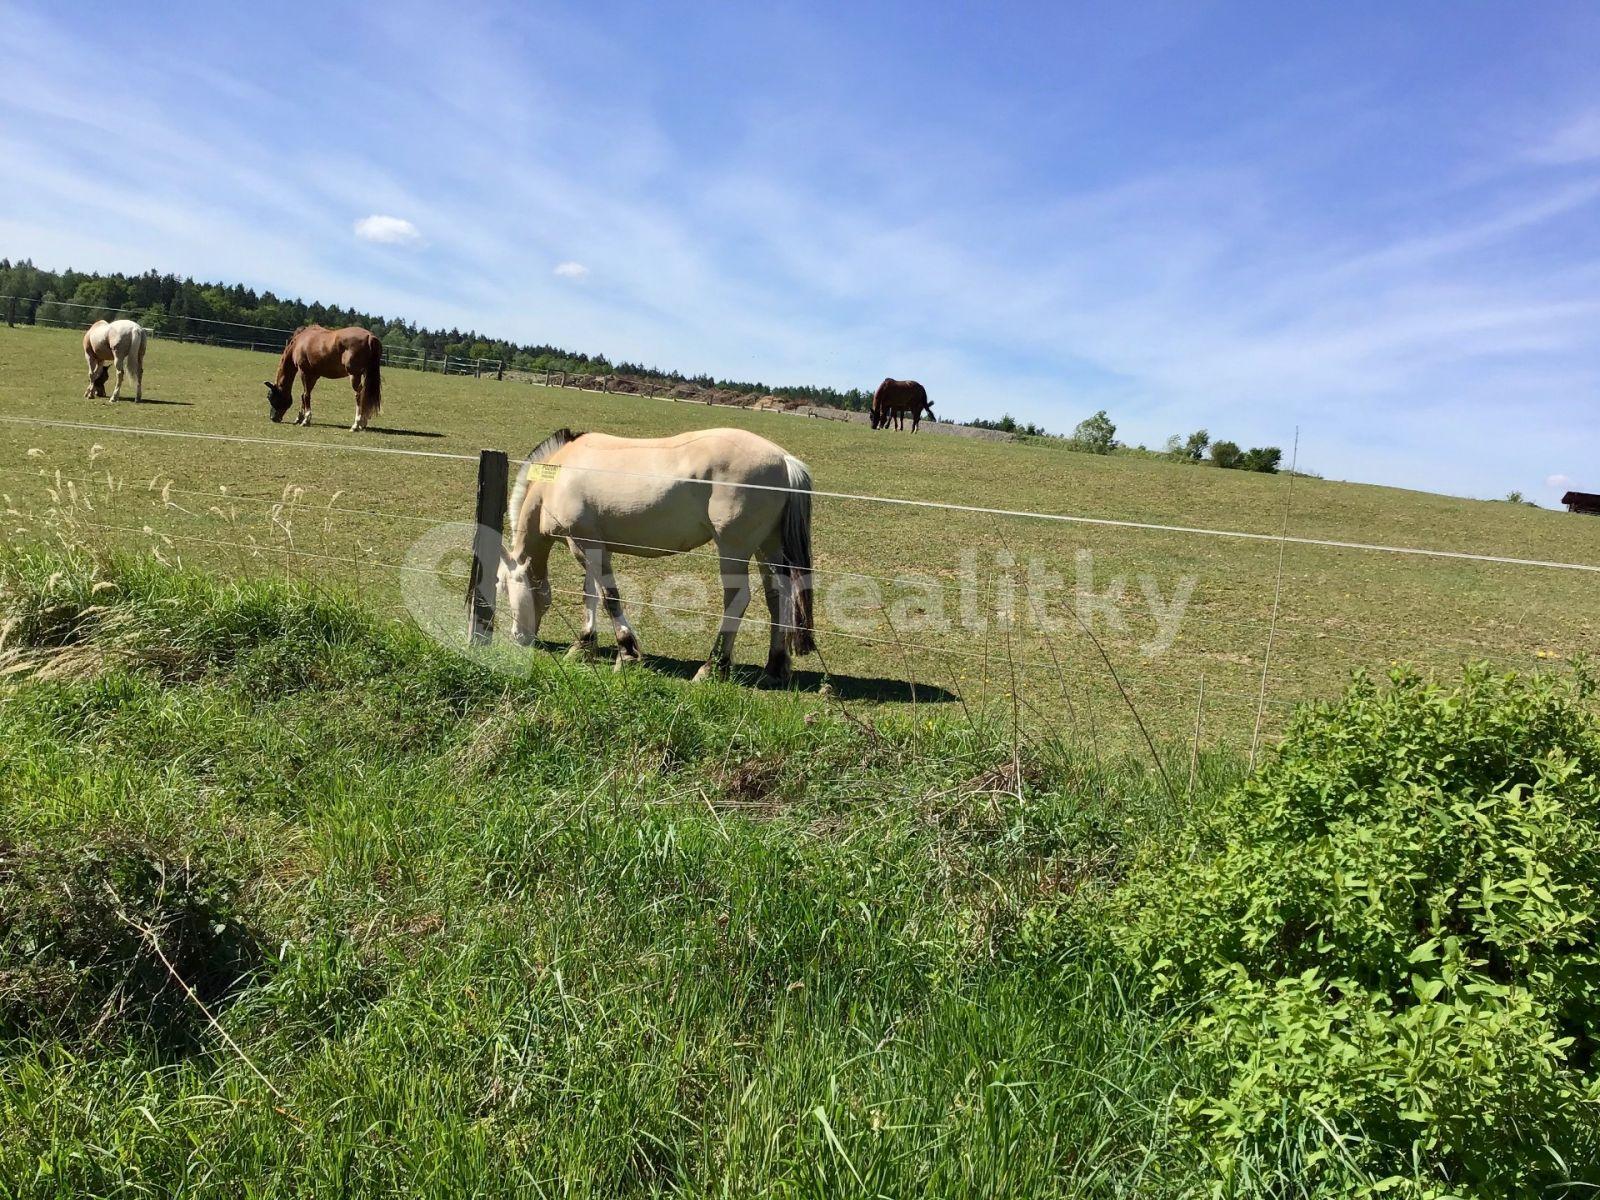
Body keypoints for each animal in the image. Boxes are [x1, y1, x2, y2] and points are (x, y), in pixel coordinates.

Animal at [496, 428, 825, 681]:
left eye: (502, 586)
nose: (517, 638)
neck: (558, 475)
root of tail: (784, 460)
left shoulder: (586, 545)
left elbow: (609, 597)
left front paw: (627, 652)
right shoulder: (589, 546)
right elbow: (591, 594)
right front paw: (584, 645)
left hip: (734, 550)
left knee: (738, 599)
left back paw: (712, 666)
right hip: (767, 547)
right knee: (778, 596)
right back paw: (775, 665)